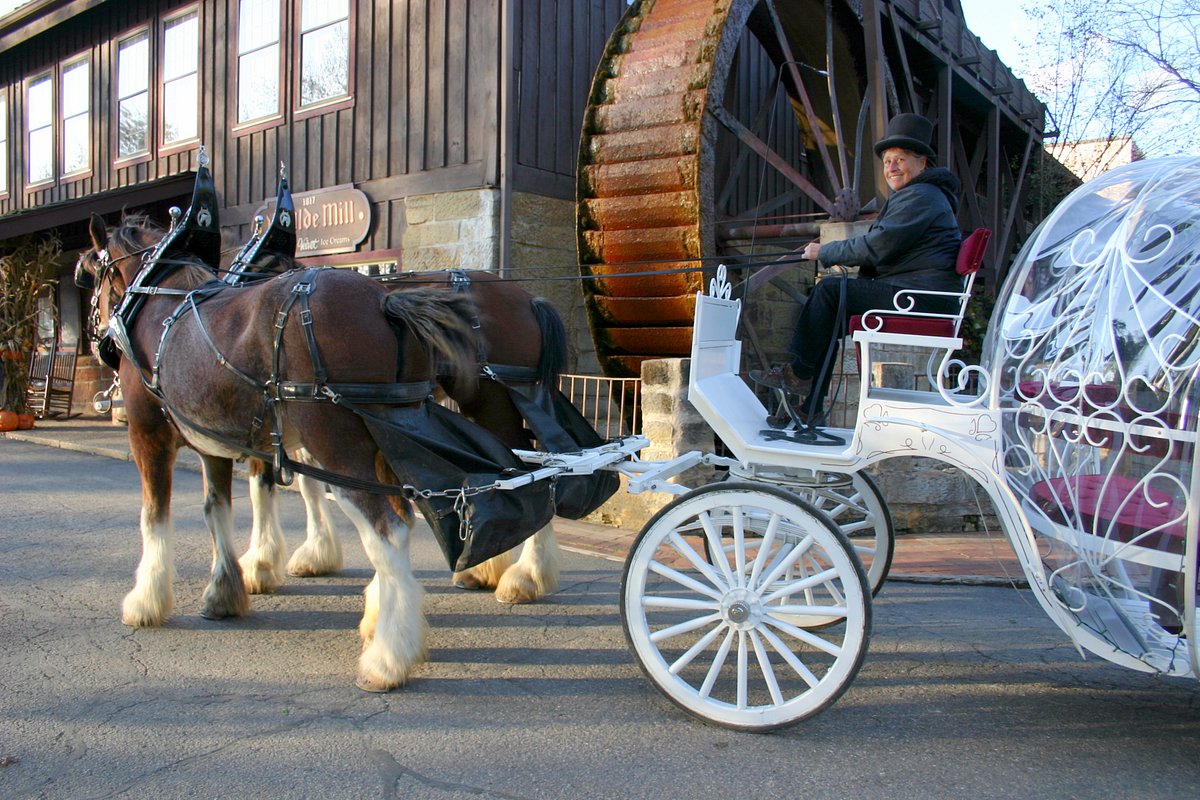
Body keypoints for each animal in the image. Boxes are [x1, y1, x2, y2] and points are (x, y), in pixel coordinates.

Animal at [75, 214, 482, 695]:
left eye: (90, 272)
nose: (97, 341)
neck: (160, 301)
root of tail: (386, 301)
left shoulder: (147, 435)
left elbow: (154, 516)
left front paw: (146, 601)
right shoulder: (214, 443)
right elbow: (217, 511)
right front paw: (225, 591)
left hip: (338, 449)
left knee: (388, 531)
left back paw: (388, 658)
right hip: (389, 443)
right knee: (400, 516)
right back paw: (378, 620)